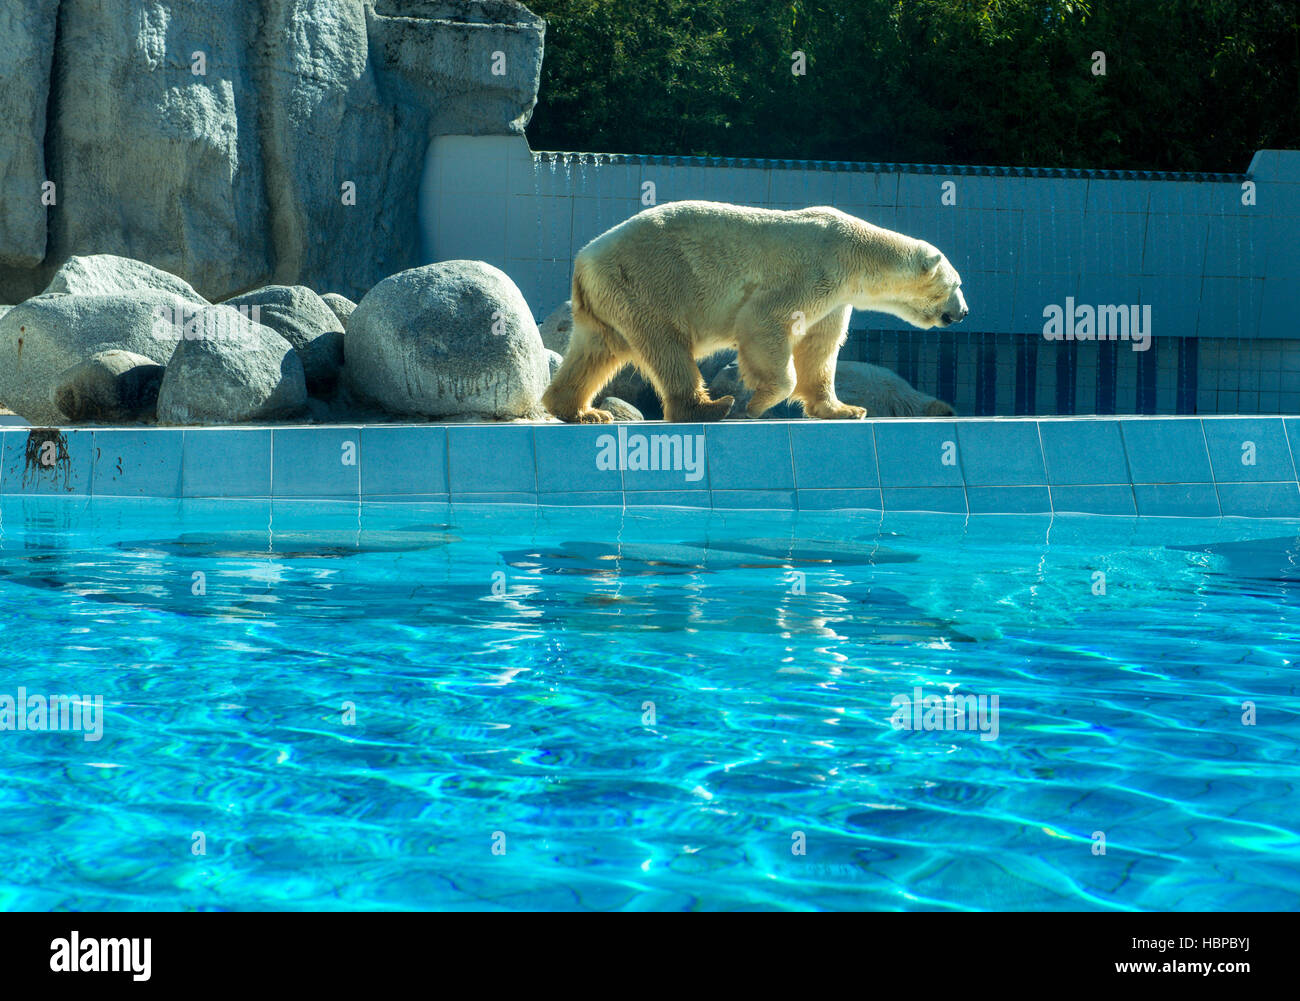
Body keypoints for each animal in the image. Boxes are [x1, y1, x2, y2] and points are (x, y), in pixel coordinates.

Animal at [540, 198, 967, 421]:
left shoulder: (836, 298)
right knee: (667, 348)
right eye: (957, 285)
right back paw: (711, 406)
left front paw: (845, 409)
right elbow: (765, 322)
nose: (962, 313)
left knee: (595, 351)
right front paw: (757, 402)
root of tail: (583, 260)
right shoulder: (813, 271)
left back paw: (578, 409)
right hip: (648, 282)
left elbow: (821, 348)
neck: (854, 252)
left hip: (610, 297)